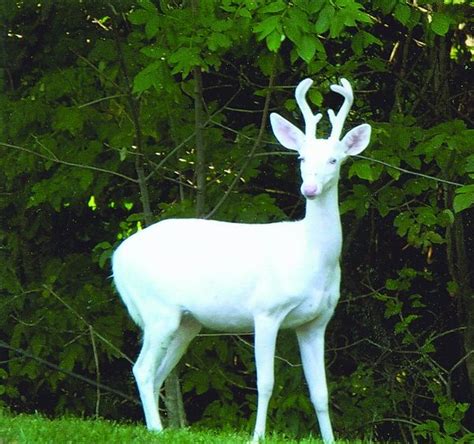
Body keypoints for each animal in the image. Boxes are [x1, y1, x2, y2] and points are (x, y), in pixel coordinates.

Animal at [112, 78, 370, 442]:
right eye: (302, 157)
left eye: (335, 160)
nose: (309, 189)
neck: (309, 256)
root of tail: (117, 258)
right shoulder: (266, 310)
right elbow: (266, 382)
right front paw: (257, 435)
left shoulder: (316, 321)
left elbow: (320, 391)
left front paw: (330, 439)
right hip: (157, 309)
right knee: (143, 369)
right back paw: (157, 430)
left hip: (186, 322)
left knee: (157, 372)